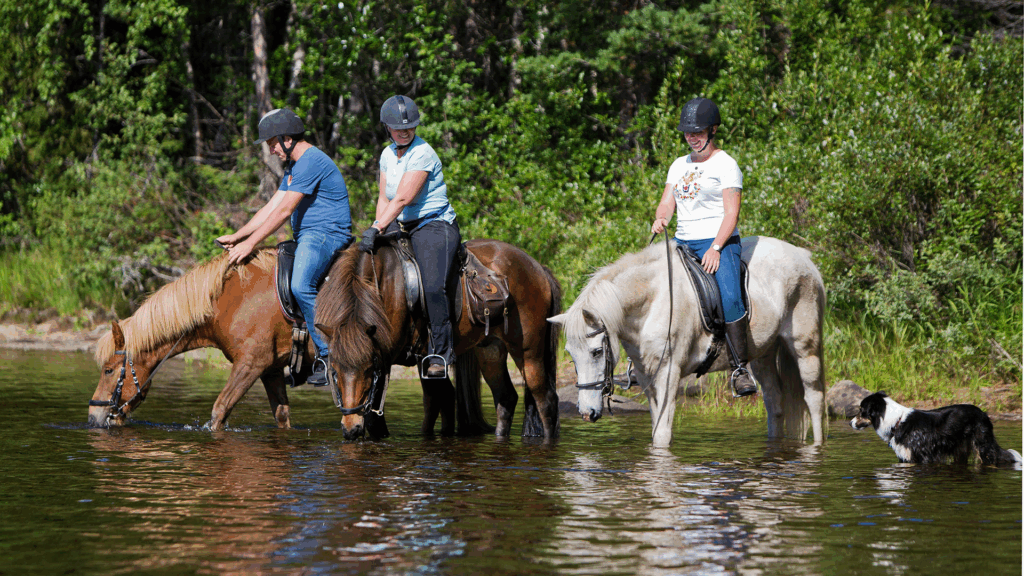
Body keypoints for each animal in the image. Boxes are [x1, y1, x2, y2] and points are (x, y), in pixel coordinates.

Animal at [88, 249, 310, 429]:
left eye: (108, 370)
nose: (92, 417)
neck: (231, 302)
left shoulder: (251, 364)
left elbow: (219, 411)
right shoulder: (271, 370)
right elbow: (281, 415)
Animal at [314, 238, 563, 441]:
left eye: (368, 369)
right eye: (334, 370)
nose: (351, 428)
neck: (382, 284)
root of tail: (538, 268)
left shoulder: (384, 363)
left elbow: (378, 420)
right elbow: (434, 403)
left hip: (528, 352)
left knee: (546, 400)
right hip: (490, 351)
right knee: (506, 399)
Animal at [548, 236, 826, 448]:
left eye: (596, 352)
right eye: (571, 355)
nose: (587, 413)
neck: (652, 302)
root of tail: (804, 257)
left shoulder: (669, 374)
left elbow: (662, 434)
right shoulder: (648, 378)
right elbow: (656, 429)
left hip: (804, 347)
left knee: (814, 399)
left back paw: (818, 446)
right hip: (764, 352)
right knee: (774, 402)